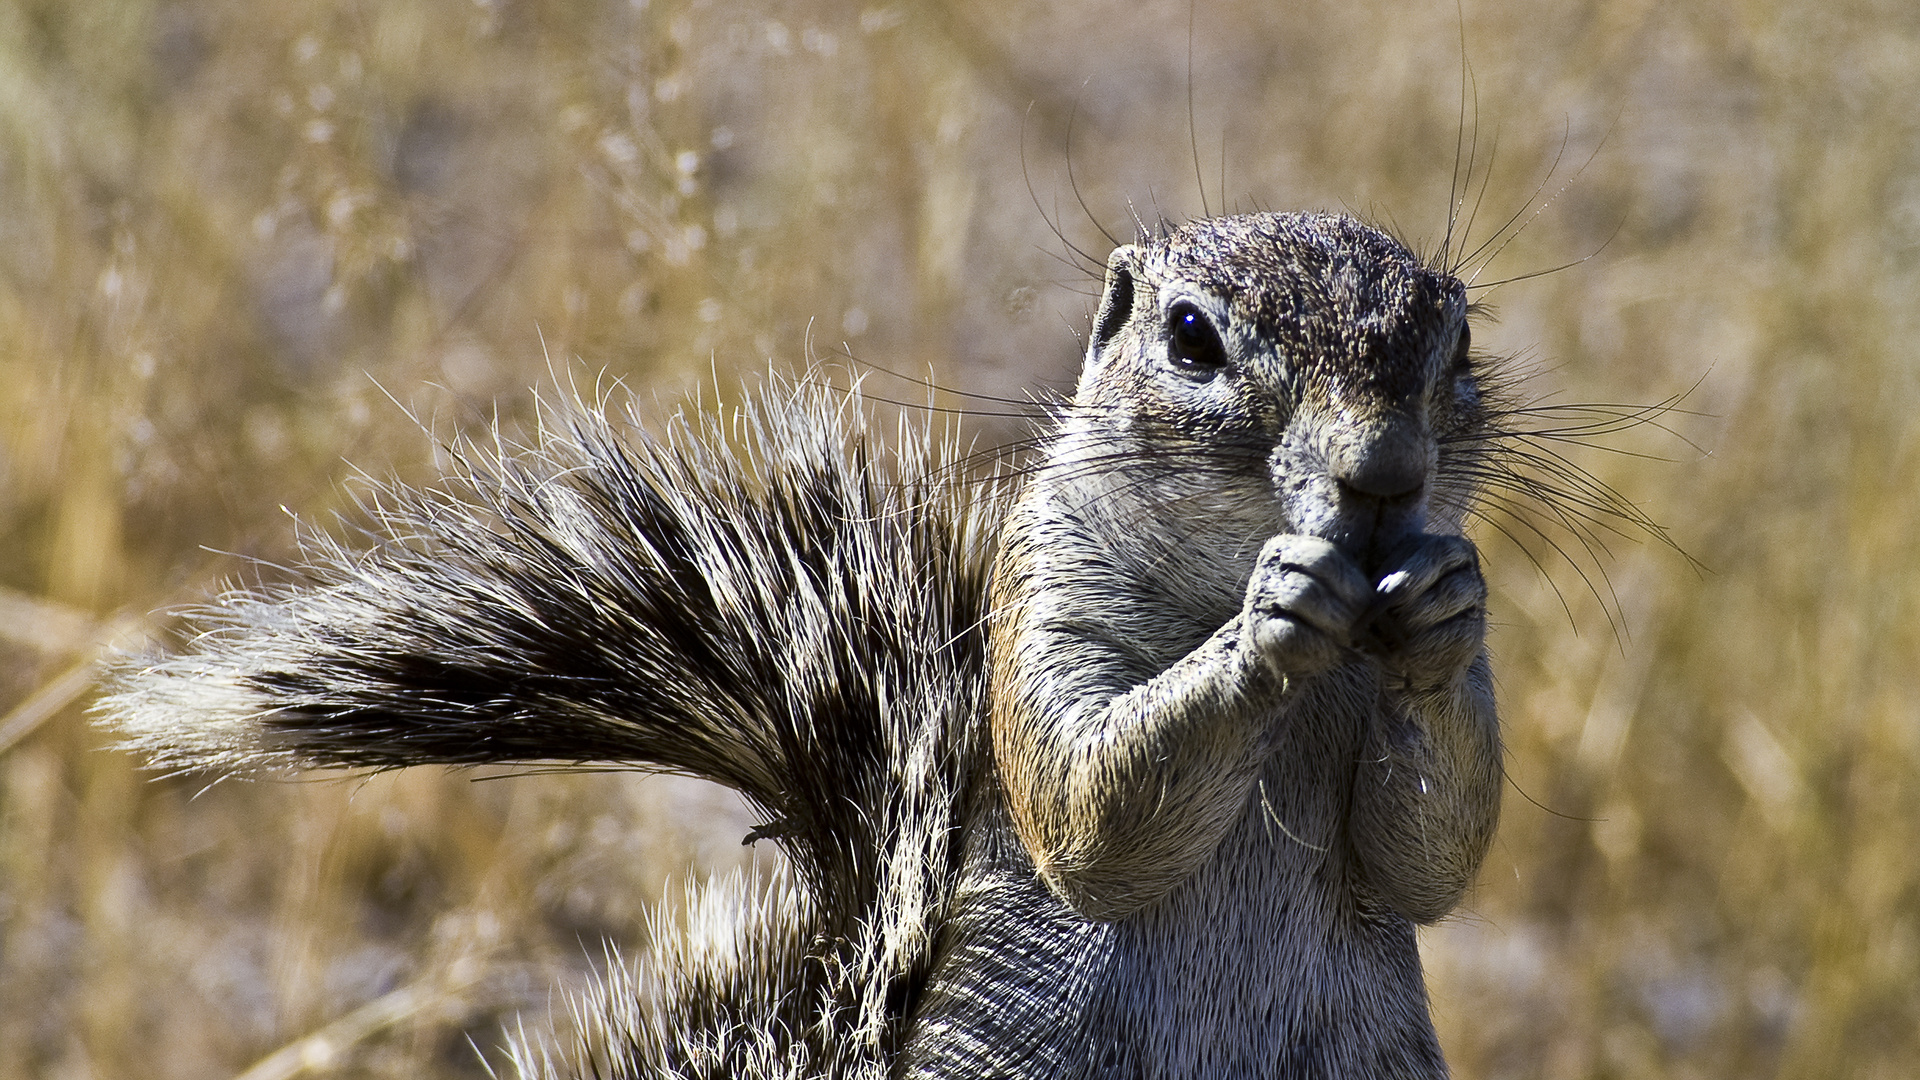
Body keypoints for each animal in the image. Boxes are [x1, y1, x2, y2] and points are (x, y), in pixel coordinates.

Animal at [105, 208, 1512, 1068]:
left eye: (1459, 335)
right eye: (1189, 337)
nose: (1384, 475)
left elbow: (1429, 857)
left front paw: (1440, 600)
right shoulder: (1041, 597)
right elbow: (1089, 812)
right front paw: (1271, 618)